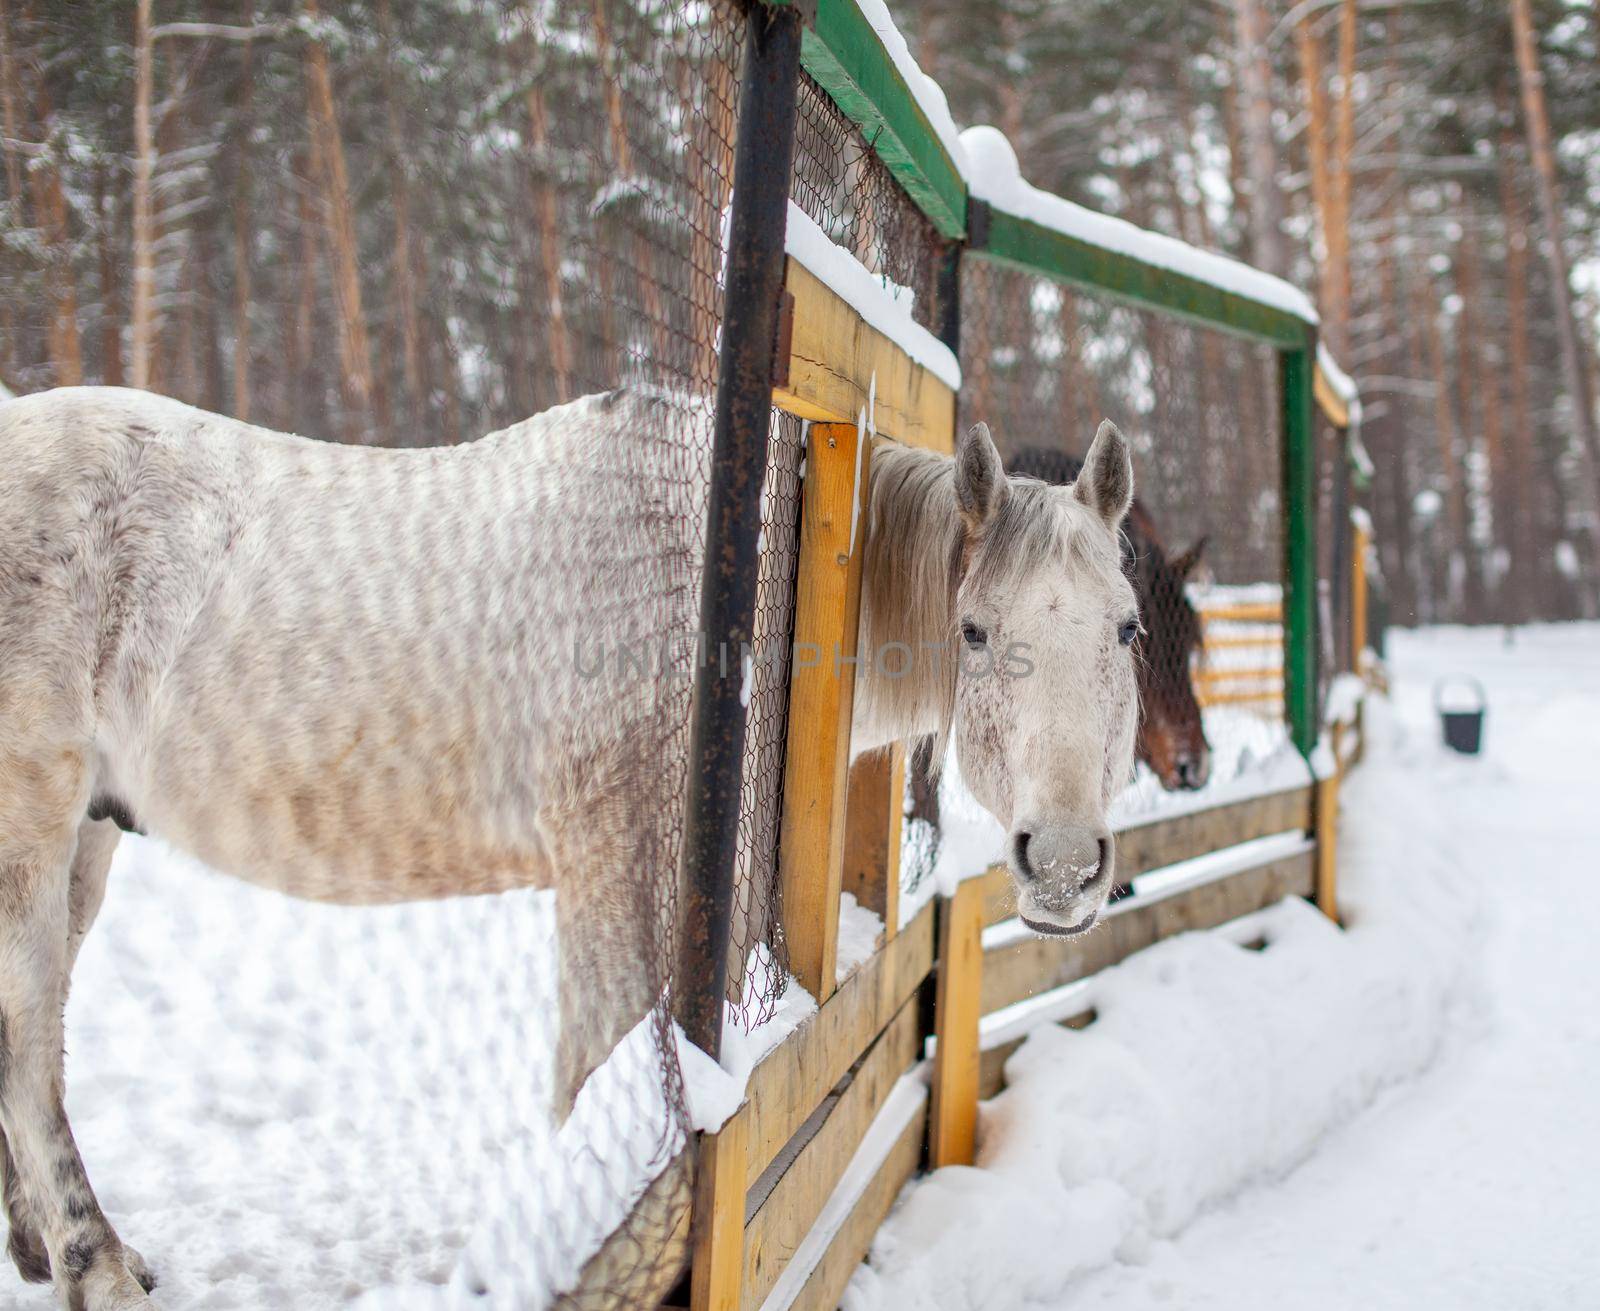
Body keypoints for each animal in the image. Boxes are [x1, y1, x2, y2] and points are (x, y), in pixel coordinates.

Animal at [0, 384, 1139, 1306]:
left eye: (1125, 629)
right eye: (975, 632)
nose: (1064, 863)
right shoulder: (611, 864)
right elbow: (596, 1074)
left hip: (87, 839)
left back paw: (44, 1248)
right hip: (31, 823)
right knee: (26, 1031)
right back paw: (95, 1268)